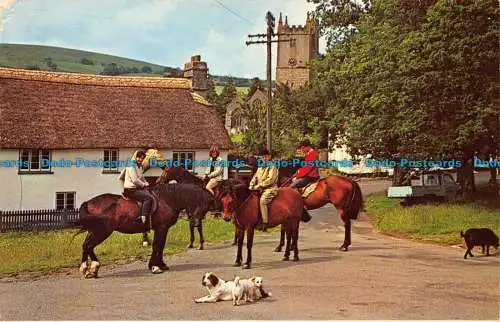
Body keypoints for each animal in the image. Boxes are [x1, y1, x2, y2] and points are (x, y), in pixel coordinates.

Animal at [74, 182, 215, 278]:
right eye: (204, 203)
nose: (196, 222)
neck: (168, 199)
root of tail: (89, 202)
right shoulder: (161, 228)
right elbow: (157, 246)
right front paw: (155, 267)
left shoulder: (162, 229)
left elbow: (161, 247)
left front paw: (161, 265)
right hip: (102, 231)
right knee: (88, 246)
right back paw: (89, 268)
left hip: (95, 230)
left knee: (86, 246)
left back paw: (90, 269)